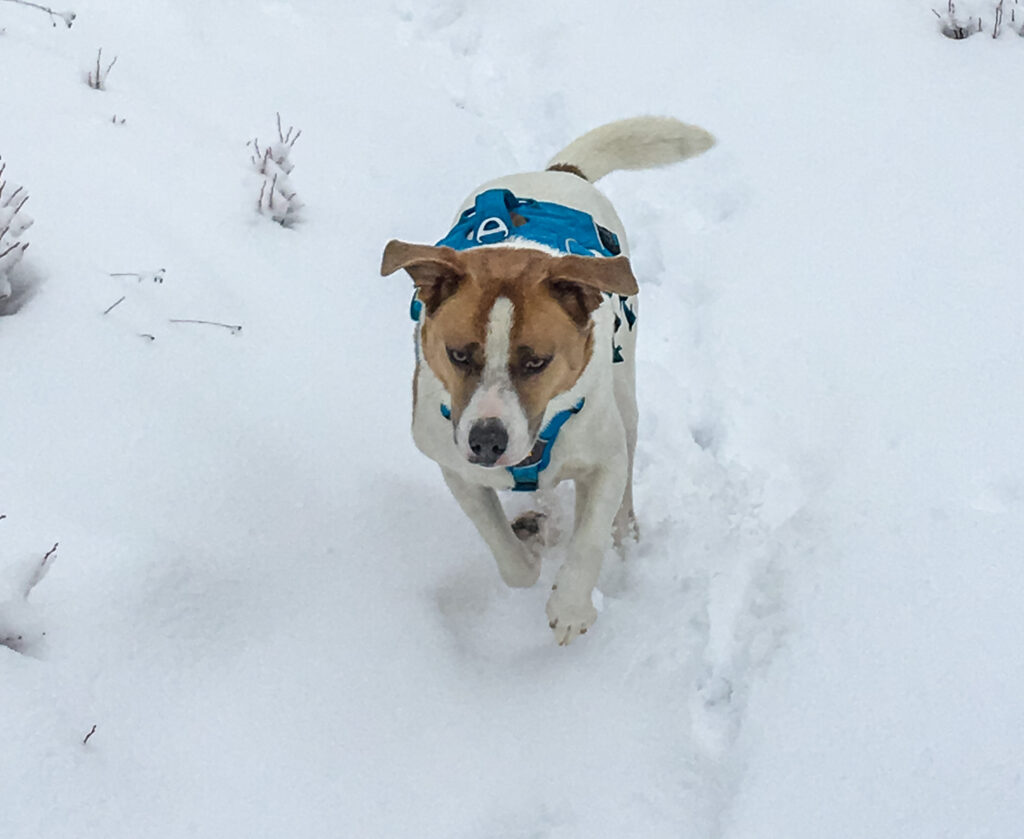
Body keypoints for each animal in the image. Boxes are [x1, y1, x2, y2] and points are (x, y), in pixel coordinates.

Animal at [380, 116, 716, 643]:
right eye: (459, 355)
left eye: (537, 361)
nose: (487, 441)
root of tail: (560, 173)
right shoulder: (456, 467)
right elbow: (505, 553)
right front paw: (528, 550)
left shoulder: (603, 458)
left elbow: (591, 534)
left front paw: (572, 605)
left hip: (625, 394)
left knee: (625, 477)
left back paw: (624, 532)